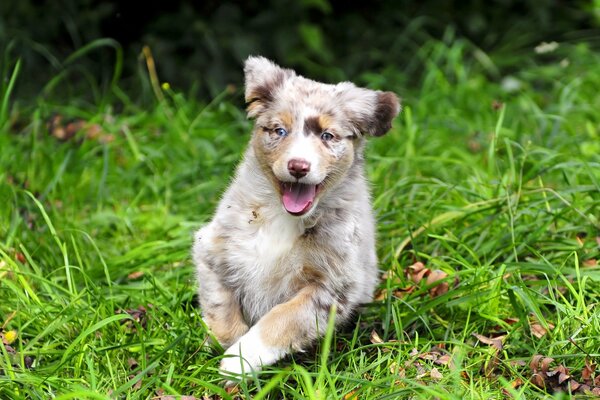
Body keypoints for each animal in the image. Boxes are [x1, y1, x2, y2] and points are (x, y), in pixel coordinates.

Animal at [192, 55, 398, 378]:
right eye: (279, 131)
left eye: (327, 136)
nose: (298, 166)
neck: (281, 216)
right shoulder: (212, 249)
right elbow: (220, 307)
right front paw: (227, 348)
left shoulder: (331, 286)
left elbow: (282, 319)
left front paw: (239, 360)